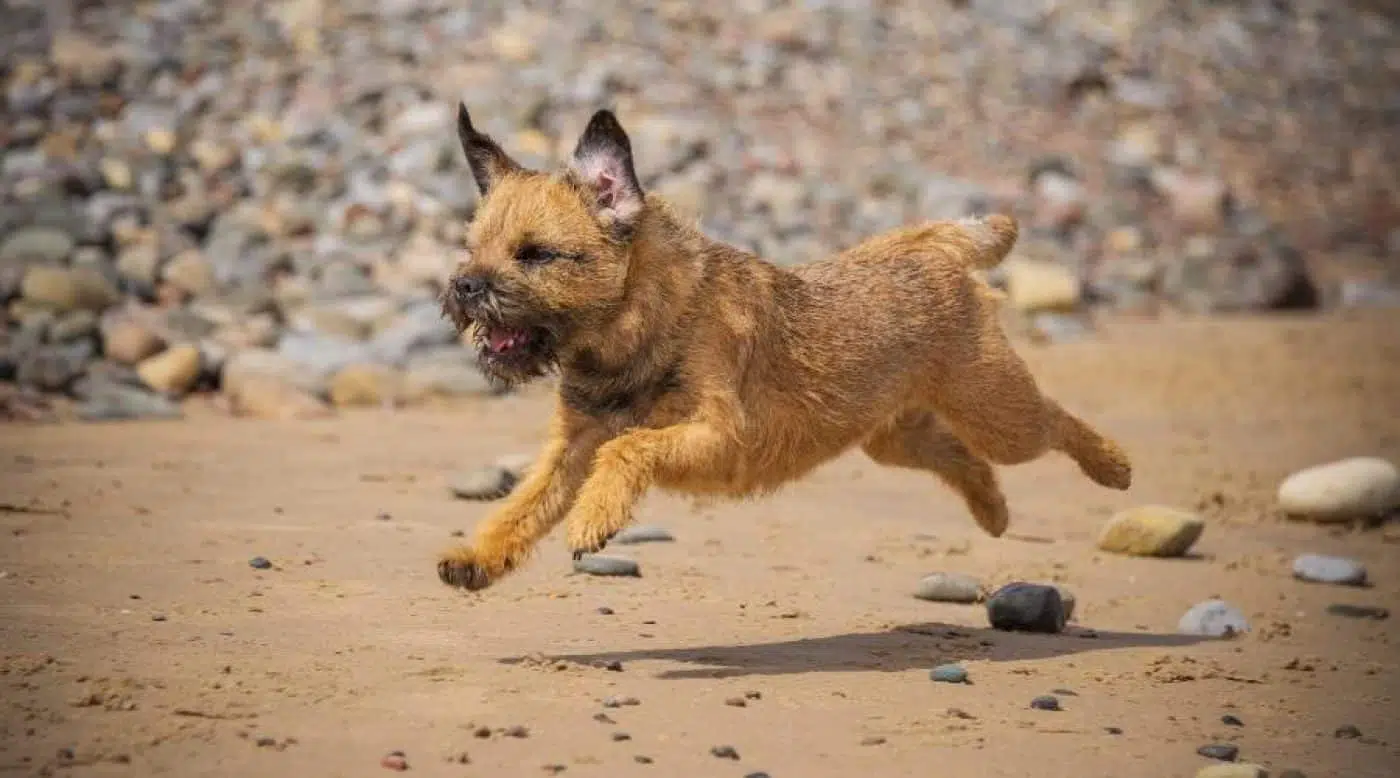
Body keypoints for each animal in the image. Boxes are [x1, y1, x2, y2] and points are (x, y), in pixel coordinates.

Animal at [431, 103, 1131, 590]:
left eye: (535, 254)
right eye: (472, 249)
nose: (464, 285)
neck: (641, 328)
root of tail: (932, 247)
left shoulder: (720, 433)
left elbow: (629, 448)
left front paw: (594, 514)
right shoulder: (569, 450)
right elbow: (521, 506)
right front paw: (478, 555)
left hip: (995, 410)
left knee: (1050, 421)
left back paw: (1113, 466)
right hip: (893, 436)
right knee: (960, 457)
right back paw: (993, 512)